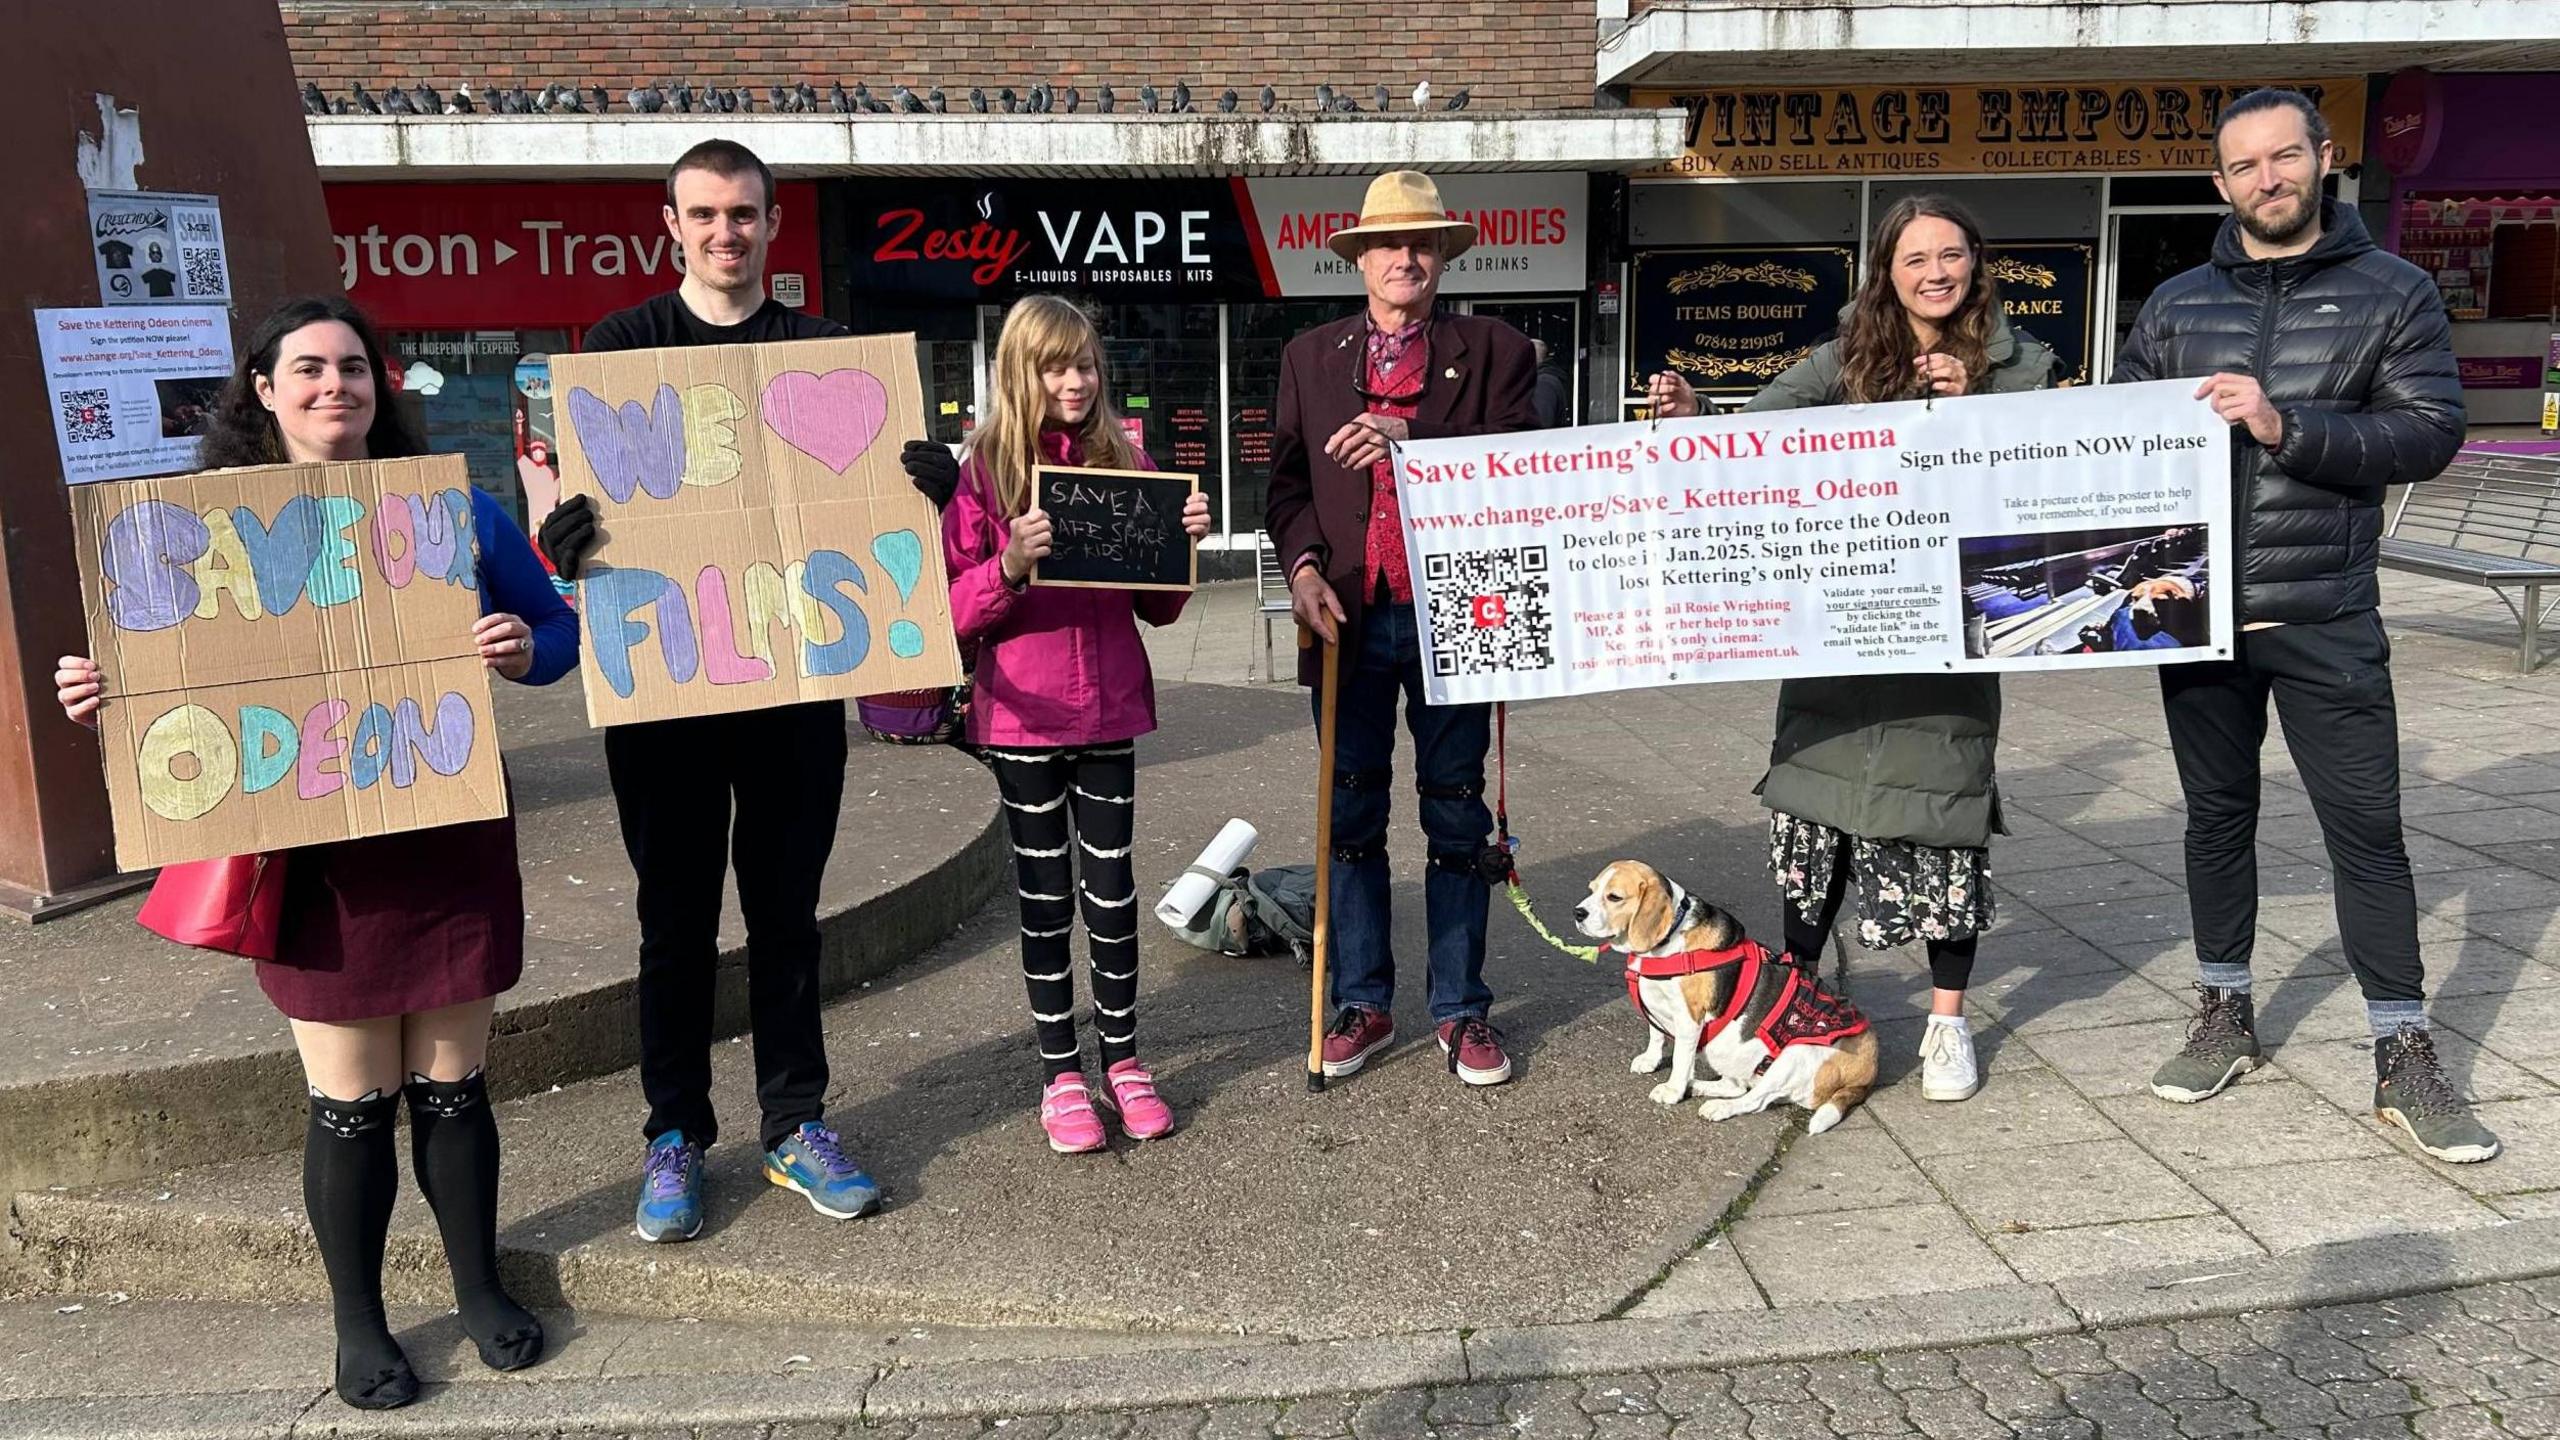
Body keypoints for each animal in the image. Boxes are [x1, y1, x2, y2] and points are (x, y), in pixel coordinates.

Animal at [1556, 855, 1884, 1127]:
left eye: (1614, 897)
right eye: (1592, 889)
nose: (1577, 912)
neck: (1668, 941)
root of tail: (1868, 1071)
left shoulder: (1689, 1019)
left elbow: (1680, 1058)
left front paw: (1673, 1090)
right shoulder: (1657, 1004)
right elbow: (1656, 1033)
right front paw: (1651, 1060)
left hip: (1795, 1054)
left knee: (1755, 1100)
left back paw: (1717, 1107)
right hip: (1725, 1051)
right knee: (1736, 1086)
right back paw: (1699, 1087)